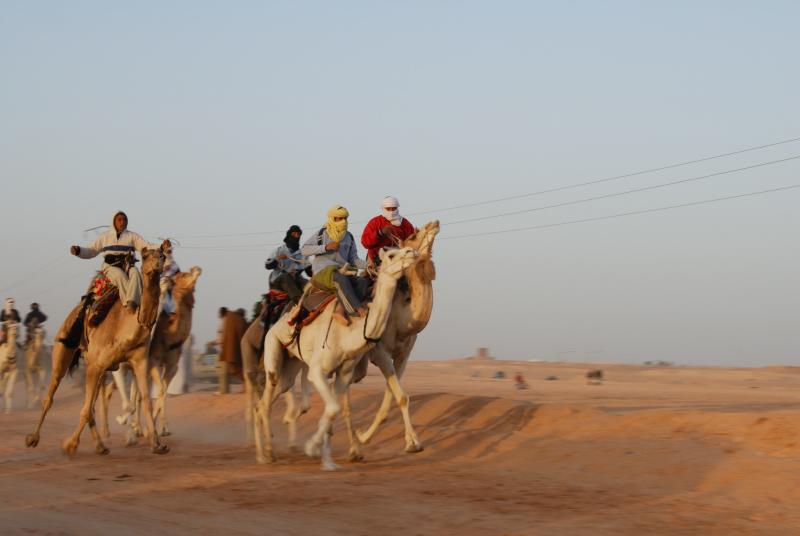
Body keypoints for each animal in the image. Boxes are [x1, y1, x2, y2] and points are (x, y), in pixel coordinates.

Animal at [26, 249, 169, 454]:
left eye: (162, 254)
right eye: (146, 255)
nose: (158, 262)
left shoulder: (139, 361)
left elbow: (146, 401)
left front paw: (157, 444)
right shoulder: (97, 365)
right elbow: (86, 410)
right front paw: (70, 445)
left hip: (98, 367)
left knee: (93, 404)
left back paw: (100, 445)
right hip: (63, 352)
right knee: (51, 394)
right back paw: (33, 438)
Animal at [255, 247, 418, 468]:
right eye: (391, 255)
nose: (412, 251)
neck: (348, 334)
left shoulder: (344, 373)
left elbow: (332, 410)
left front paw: (323, 456)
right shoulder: (317, 371)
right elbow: (332, 409)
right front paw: (313, 449)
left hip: (290, 365)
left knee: (268, 399)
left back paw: (265, 451)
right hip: (273, 347)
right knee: (266, 397)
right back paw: (267, 454)